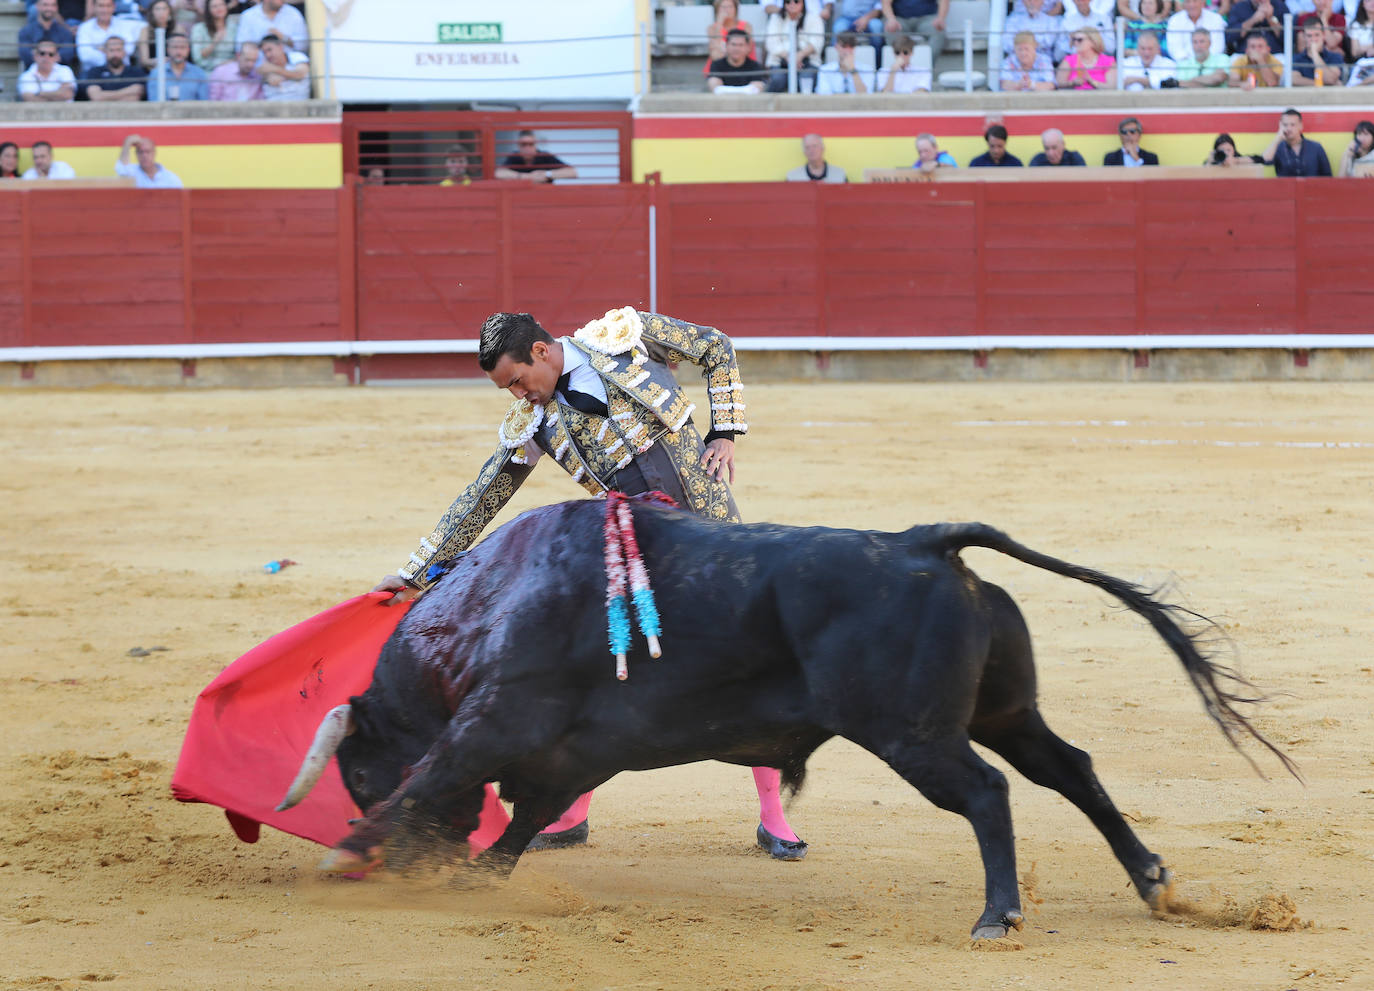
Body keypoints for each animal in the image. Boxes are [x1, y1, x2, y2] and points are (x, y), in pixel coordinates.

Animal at [276, 497, 1286, 940]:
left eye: (354, 771)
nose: (425, 867)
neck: (485, 607)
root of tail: (926, 541)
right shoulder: (570, 756)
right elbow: (522, 821)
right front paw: (478, 875)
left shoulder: (494, 723)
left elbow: (436, 775)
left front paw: (349, 852)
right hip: (1005, 708)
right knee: (1067, 766)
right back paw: (1152, 879)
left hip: (912, 733)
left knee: (988, 792)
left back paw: (998, 914)